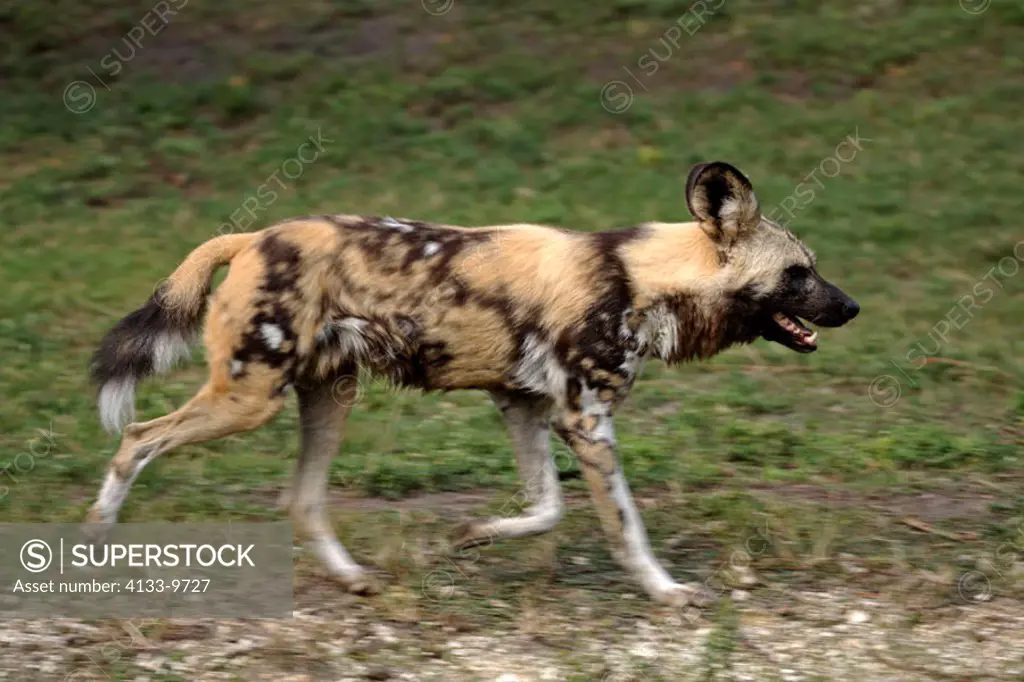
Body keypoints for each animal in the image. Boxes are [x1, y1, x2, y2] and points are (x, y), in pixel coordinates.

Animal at [88, 161, 856, 602]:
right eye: (798, 273)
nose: (850, 307)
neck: (642, 279)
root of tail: (251, 237)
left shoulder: (524, 405)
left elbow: (548, 506)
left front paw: (473, 535)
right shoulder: (584, 419)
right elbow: (625, 527)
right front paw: (666, 592)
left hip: (329, 395)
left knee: (301, 500)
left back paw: (353, 578)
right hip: (248, 399)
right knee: (136, 438)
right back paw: (96, 546)